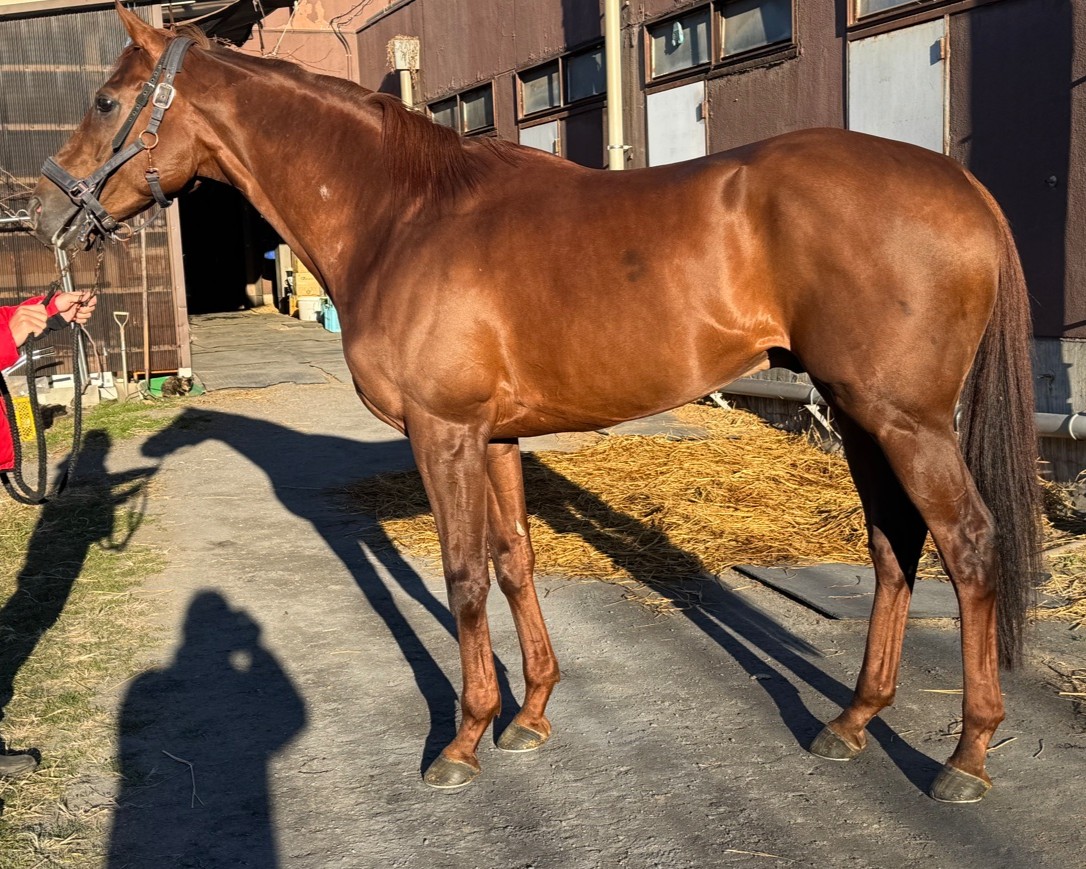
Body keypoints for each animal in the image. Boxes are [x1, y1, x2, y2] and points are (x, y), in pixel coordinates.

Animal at [31, 6, 1041, 803]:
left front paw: (464, 737)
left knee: (967, 545)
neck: (403, 215)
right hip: (860, 411)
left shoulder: (443, 432)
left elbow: (463, 576)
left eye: (108, 101)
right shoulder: (496, 437)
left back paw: (967, 754)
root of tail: (958, 184)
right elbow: (513, 562)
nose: (47, 213)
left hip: (905, 419)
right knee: (893, 545)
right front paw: (533, 714)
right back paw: (852, 720)